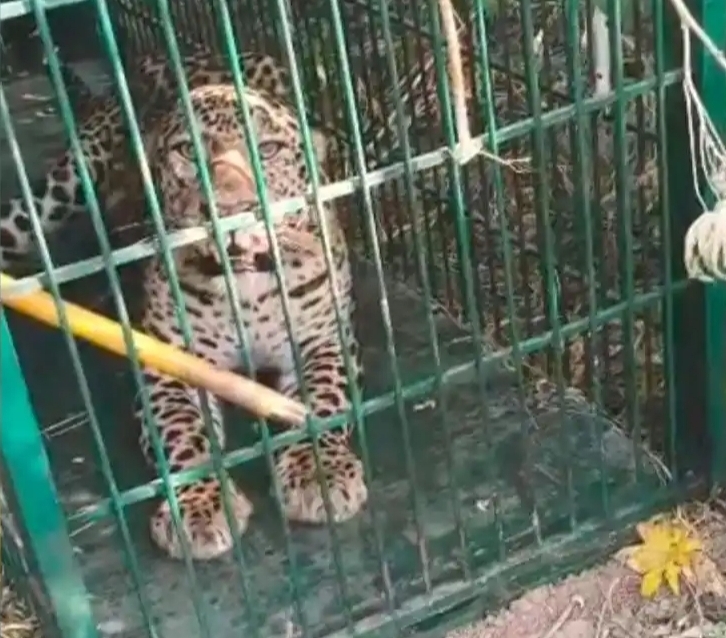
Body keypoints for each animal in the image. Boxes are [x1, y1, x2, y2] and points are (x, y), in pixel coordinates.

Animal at [139, 81, 367, 560]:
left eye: (268, 150)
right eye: (187, 151)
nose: (230, 212)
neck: (247, 290)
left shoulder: (323, 340)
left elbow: (321, 403)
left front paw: (319, 473)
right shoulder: (169, 364)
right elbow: (182, 432)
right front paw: (198, 505)